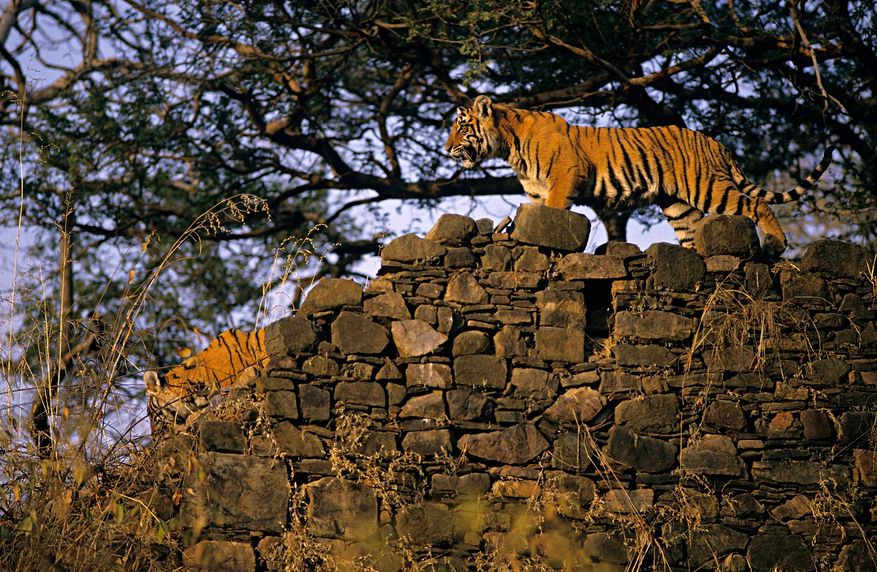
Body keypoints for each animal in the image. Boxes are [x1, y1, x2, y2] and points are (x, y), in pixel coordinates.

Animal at [445, 95, 834, 257]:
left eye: (462, 127)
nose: (447, 149)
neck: (509, 145)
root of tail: (716, 142)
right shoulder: (537, 192)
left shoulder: (565, 176)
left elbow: (555, 211)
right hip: (678, 206)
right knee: (692, 236)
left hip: (708, 188)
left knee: (757, 206)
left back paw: (777, 245)